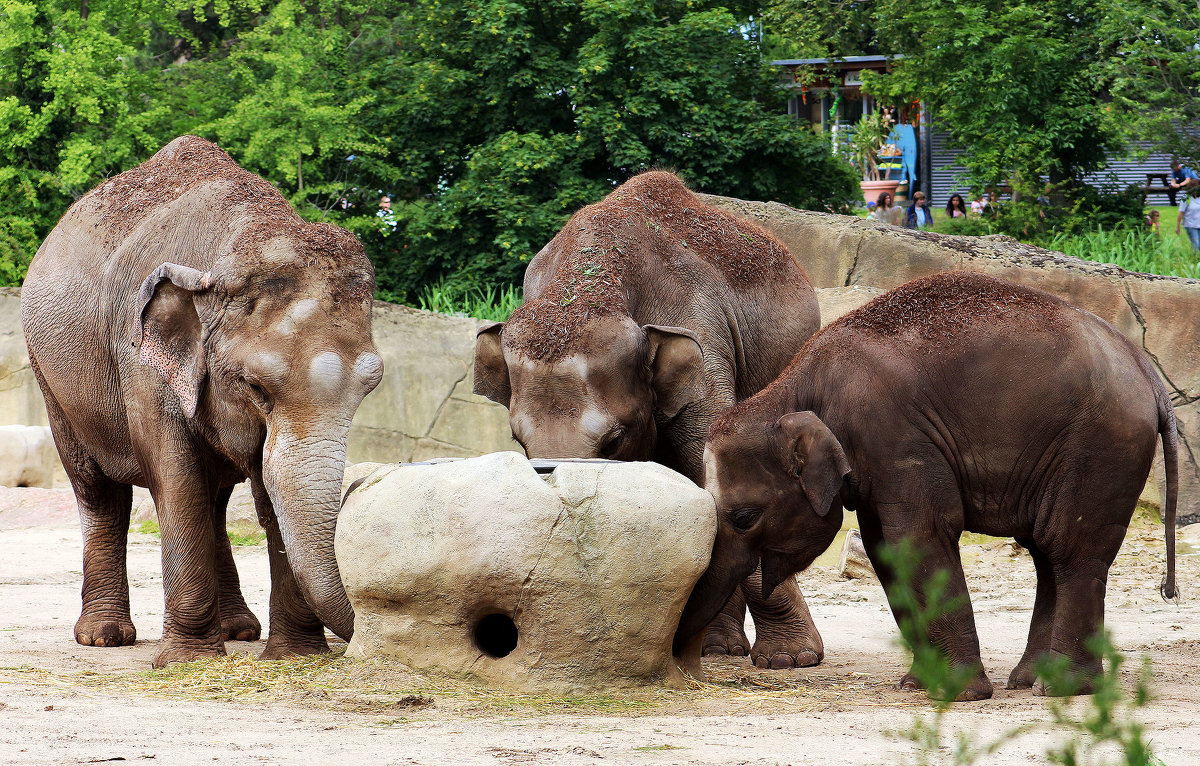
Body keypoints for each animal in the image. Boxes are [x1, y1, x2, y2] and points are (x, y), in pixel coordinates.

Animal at [22, 138, 379, 672]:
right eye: (257, 388)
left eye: (369, 388)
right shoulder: (140, 360)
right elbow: (177, 479)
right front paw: (187, 662)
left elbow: (263, 490)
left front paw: (294, 657)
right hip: (51, 380)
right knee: (99, 490)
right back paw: (104, 637)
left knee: (216, 500)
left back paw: (239, 631)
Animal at [681, 273, 1176, 705]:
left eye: (744, 517)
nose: (703, 659)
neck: (794, 389)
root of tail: (1147, 370)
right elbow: (885, 550)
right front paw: (917, 685)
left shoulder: (894, 434)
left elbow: (919, 537)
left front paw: (956, 694)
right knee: (1045, 552)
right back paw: (1029, 681)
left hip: (1100, 445)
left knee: (1068, 548)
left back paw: (1061, 689)